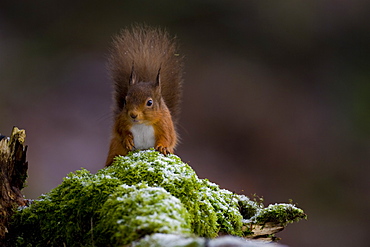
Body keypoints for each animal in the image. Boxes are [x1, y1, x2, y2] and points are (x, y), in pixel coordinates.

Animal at [105, 25, 183, 166]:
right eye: (125, 101)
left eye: (150, 103)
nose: (133, 115)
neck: (143, 123)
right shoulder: (121, 121)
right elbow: (120, 131)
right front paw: (127, 139)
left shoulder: (165, 123)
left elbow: (168, 137)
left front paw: (163, 146)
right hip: (116, 146)